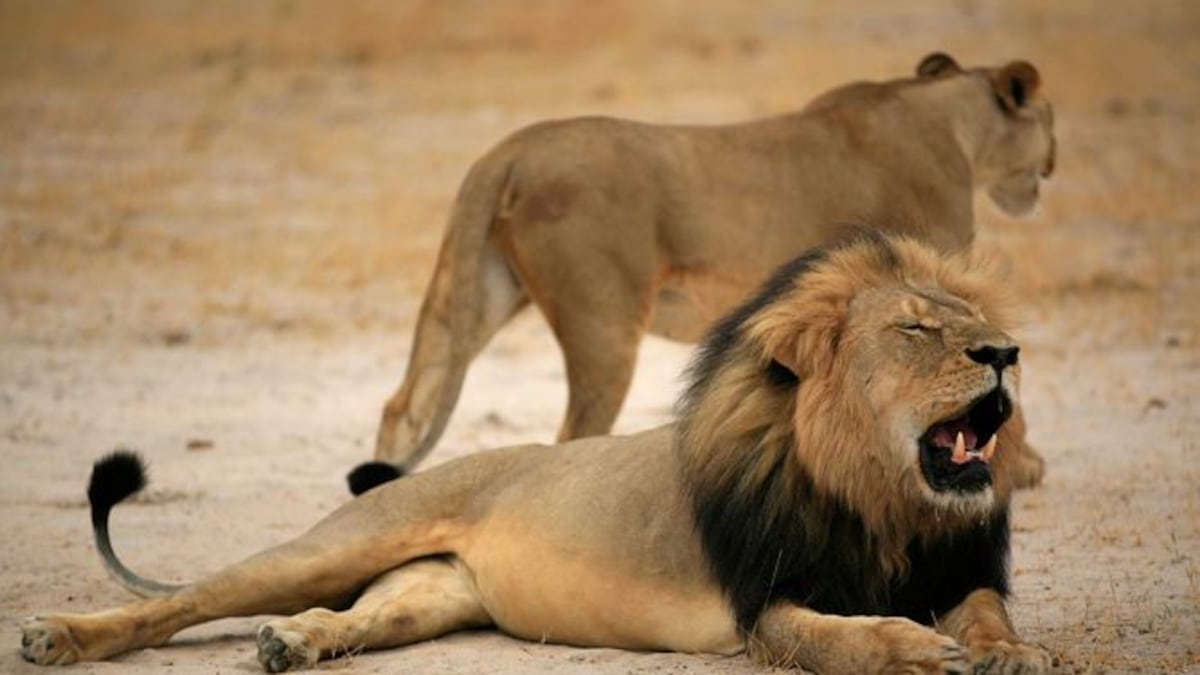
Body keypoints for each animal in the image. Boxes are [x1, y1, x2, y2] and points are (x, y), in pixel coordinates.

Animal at [21, 233, 1052, 673]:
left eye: (976, 321)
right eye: (918, 328)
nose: (1006, 353)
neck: (883, 502)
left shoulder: (957, 567)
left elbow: (990, 611)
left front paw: (1008, 653)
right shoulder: (764, 604)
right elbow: (846, 638)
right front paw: (919, 651)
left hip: (430, 592)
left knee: (351, 614)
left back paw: (296, 642)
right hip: (339, 540)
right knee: (188, 599)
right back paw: (60, 636)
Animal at [363, 51, 1055, 493]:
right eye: (1048, 119)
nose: (1051, 163)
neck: (951, 121)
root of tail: (508, 149)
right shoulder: (927, 278)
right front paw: (1020, 467)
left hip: (477, 291)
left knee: (405, 403)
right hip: (603, 323)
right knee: (571, 436)